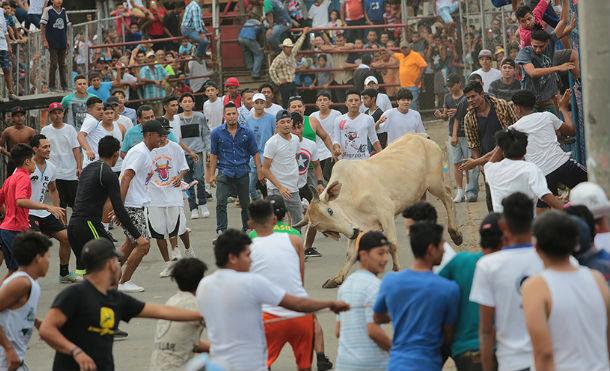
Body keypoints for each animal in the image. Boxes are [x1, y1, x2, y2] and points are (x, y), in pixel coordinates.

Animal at [294, 135, 460, 290]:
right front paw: (336, 279)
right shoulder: (358, 225)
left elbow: (391, 243)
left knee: (448, 196)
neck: (352, 193)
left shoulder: (385, 212)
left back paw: (455, 233)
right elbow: (351, 253)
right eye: (325, 230)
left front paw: (397, 269)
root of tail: (421, 137)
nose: (353, 233)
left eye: (330, 210)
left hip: (435, 183)